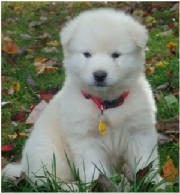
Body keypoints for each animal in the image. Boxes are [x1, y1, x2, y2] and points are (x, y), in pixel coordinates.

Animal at [2, 8, 161, 185]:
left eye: (115, 55)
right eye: (87, 54)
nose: (99, 75)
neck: (106, 104)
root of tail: (23, 167)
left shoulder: (140, 132)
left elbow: (145, 161)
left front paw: (154, 182)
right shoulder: (85, 139)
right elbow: (94, 169)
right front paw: (97, 185)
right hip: (50, 156)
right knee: (51, 182)